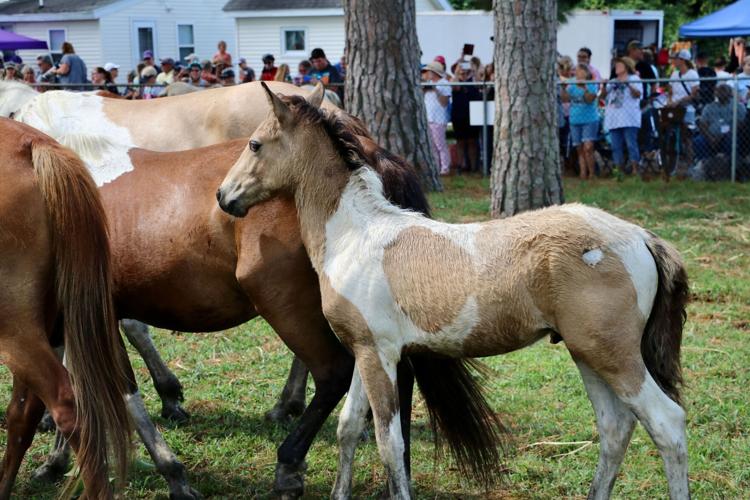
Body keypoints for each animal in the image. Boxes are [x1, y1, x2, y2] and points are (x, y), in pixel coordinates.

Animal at [217, 84, 691, 500]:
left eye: (255, 144)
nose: (223, 196)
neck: (356, 233)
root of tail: (642, 237)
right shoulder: (363, 349)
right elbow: (348, 426)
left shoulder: (380, 353)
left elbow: (390, 444)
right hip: (586, 353)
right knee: (615, 428)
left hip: (614, 355)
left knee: (667, 423)